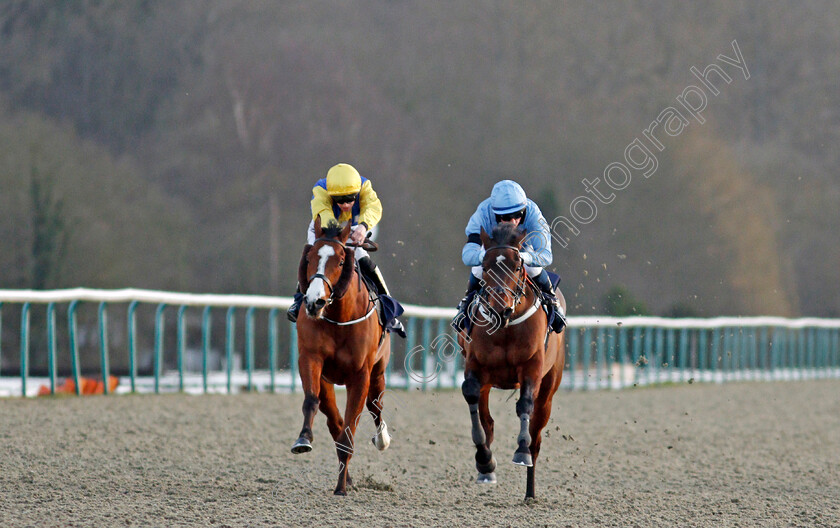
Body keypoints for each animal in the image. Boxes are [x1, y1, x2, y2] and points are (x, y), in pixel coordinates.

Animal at [290, 216, 392, 496]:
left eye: (340, 260)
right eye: (309, 258)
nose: (315, 301)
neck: (338, 318)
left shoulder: (361, 375)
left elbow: (351, 426)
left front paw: (341, 489)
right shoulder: (311, 359)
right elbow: (311, 402)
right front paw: (303, 439)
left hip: (378, 371)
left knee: (375, 406)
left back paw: (382, 439)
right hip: (327, 381)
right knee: (333, 420)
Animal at [456, 222, 568, 500]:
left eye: (518, 266)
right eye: (485, 266)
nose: (499, 307)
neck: (506, 326)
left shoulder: (532, 368)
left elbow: (525, 404)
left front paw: (521, 451)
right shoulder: (476, 366)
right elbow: (472, 397)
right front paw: (485, 462)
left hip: (549, 388)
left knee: (536, 435)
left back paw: (530, 491)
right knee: (488, 421)